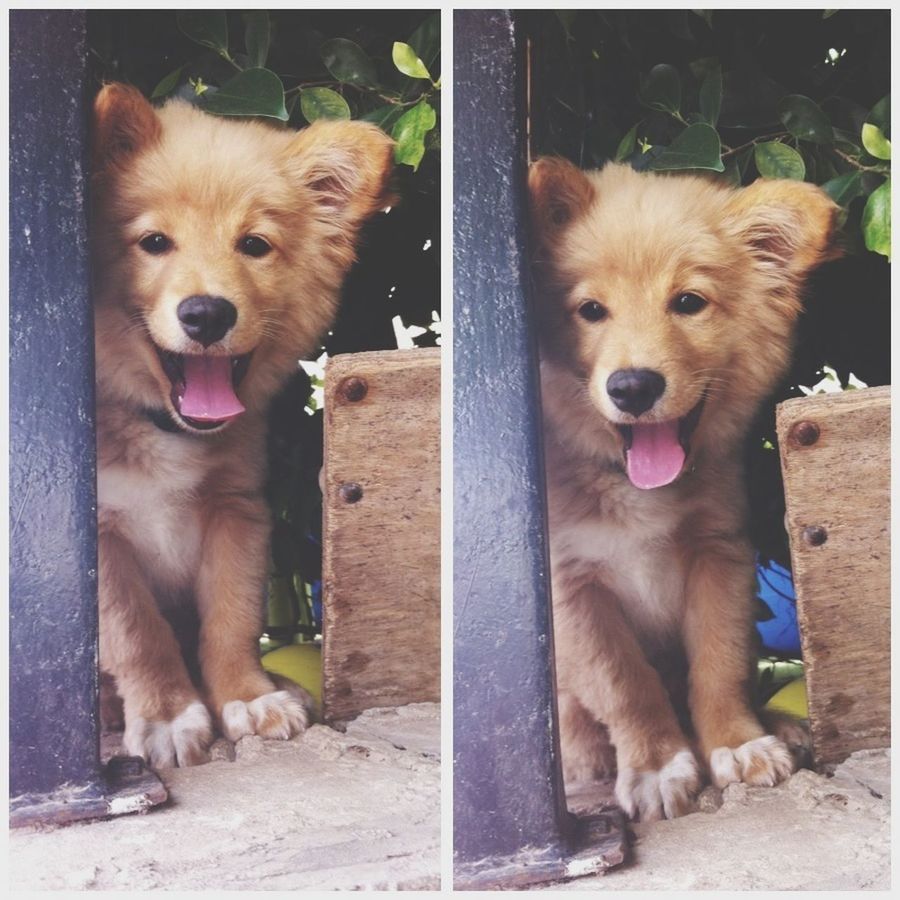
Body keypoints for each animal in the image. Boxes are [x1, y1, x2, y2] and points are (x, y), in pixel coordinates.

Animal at [90, 82, 394, 768]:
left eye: (254, 245)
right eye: (154, 242)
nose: (206, 314)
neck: (166, 428)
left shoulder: (238, 510)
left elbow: (232, 617)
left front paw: (247, 698)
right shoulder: (95, 538)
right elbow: (137, 632)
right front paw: (167, 714)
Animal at [528, 158, 836, 820]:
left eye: (689, 302)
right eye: (591, 310)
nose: (632, 387)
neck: (633, 486)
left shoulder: (720, 553)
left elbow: (718, 664)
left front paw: (736, 745)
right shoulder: (573, 591)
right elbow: (626, 684)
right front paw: (655, 765)